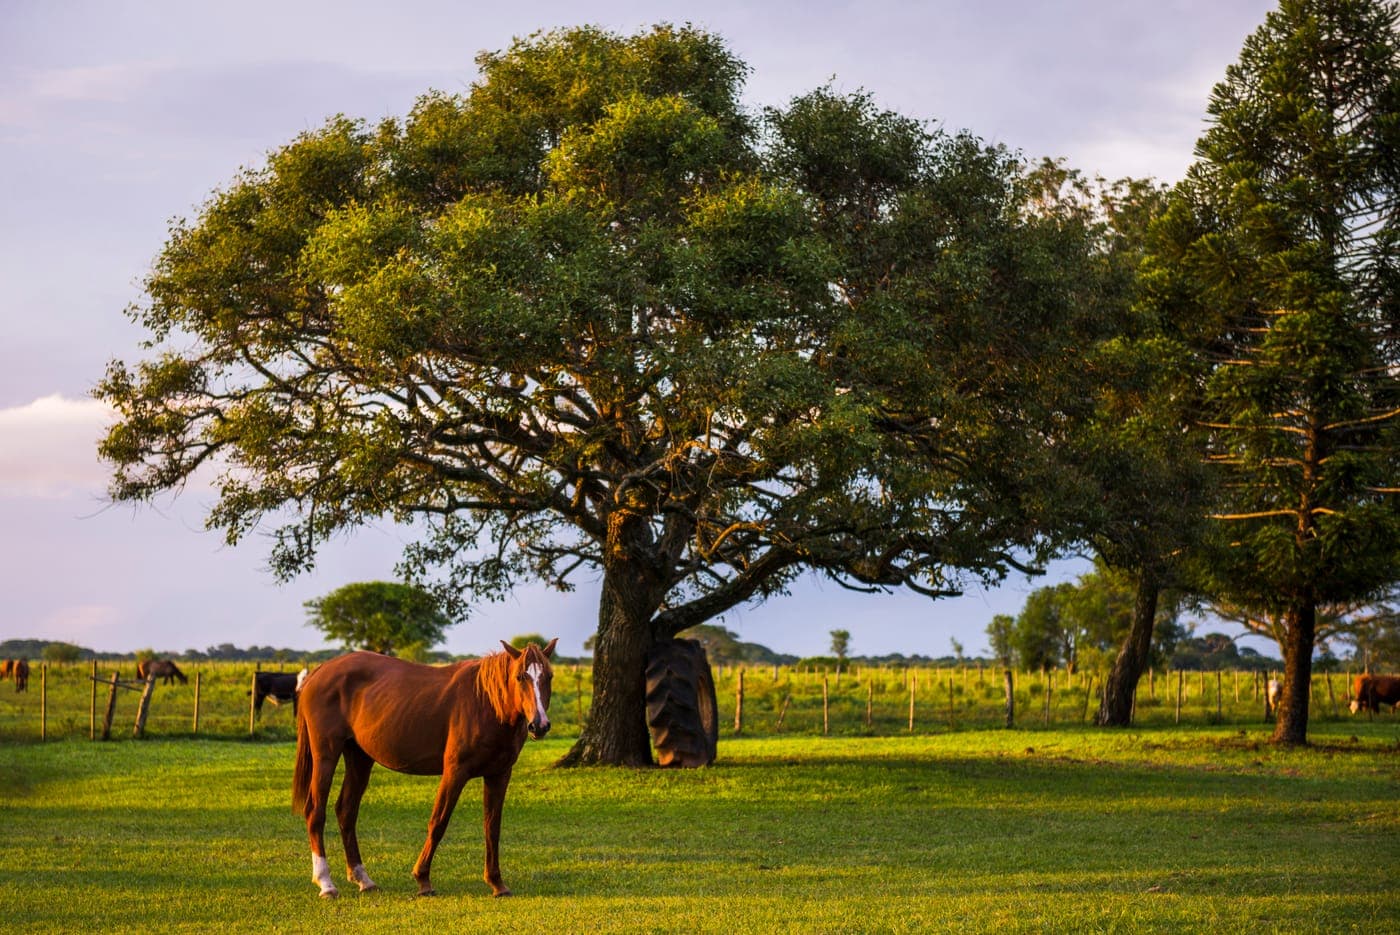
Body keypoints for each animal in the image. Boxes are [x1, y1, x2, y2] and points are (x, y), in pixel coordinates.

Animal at [292, 639, 557, 899]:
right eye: (520, 677)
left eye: (549, 676)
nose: (539, 725)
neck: (486, 703)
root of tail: (319, 672)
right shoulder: (455, 772)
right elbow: (438, 822)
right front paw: (423, 880)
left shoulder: (499, 774)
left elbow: (492, 827)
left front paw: (497, 884)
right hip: (326, 754)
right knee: (315, 812)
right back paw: (326, 883)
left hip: (359, 757)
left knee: (346, 811)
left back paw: (364, 880)